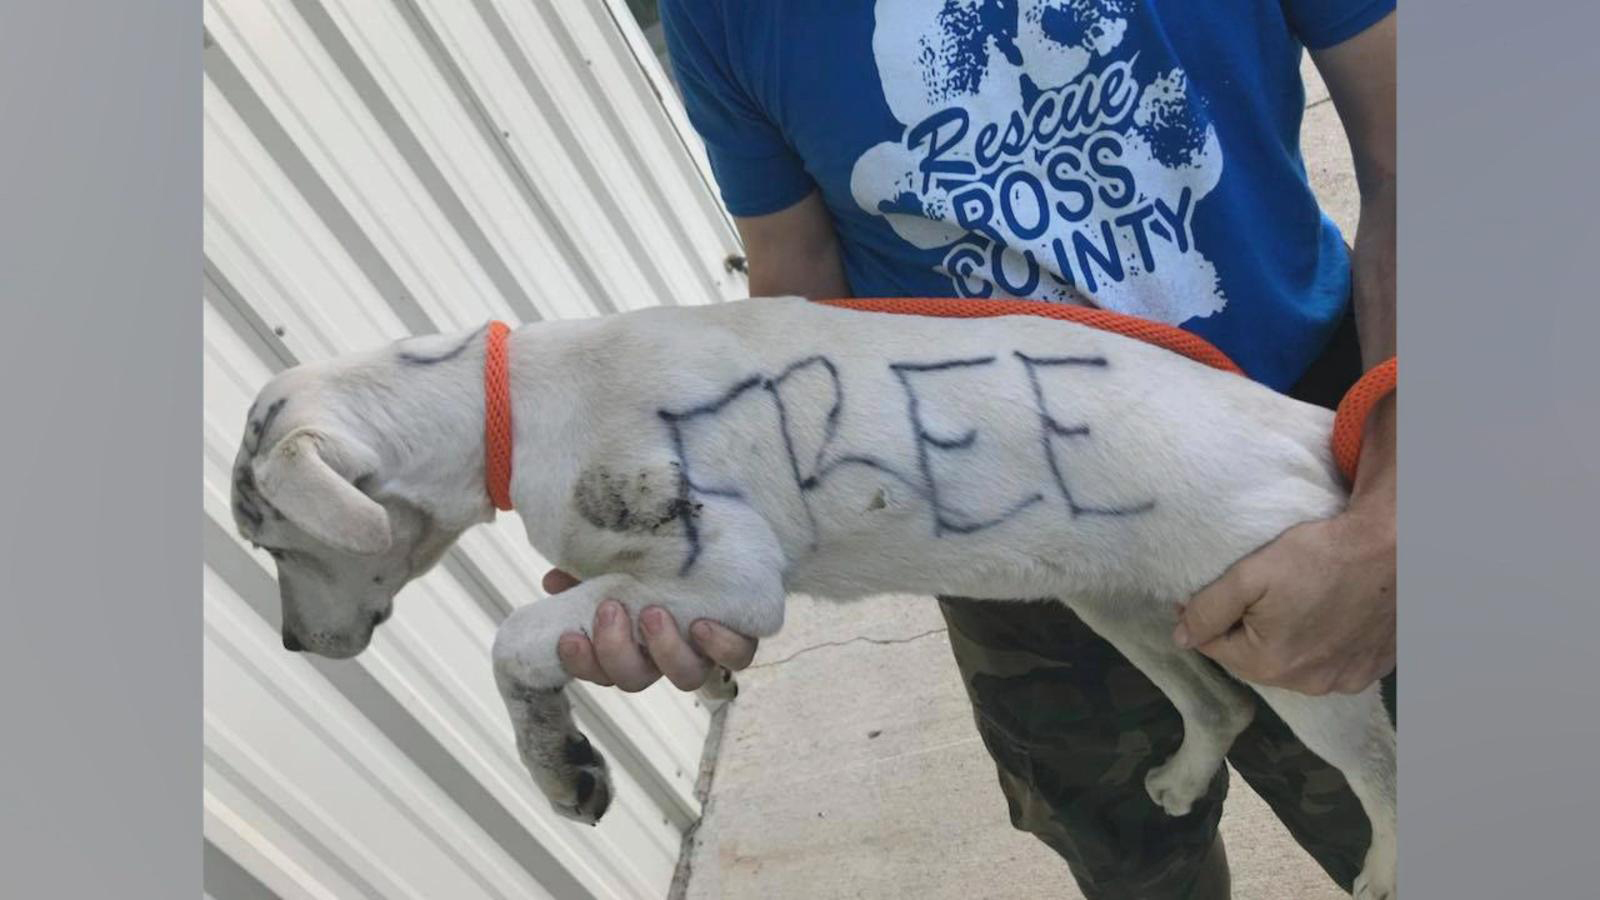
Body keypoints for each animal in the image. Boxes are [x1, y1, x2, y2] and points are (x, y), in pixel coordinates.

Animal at [232, 297, 1395, 896]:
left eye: (266, 535)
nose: (287, 647)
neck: (508, 402)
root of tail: (1304, 425)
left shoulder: (729, 577)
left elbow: (513, 633)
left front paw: (559, 771)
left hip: (1294, 639)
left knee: (1375, 767)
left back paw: (1383, 867)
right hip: (1124, 603)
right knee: (1217, 705)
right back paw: (1186, 773)